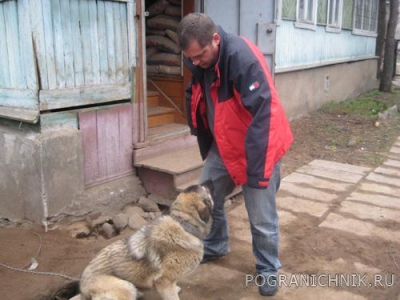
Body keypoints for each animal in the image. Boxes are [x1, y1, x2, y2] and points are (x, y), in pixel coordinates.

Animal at [79, 183, 214, 300]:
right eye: (206, 190)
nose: (210, 182)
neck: (184, 224)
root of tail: (82, 289)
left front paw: (176, 288)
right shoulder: (164, 281)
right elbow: (172, 296)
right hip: (126, 287)